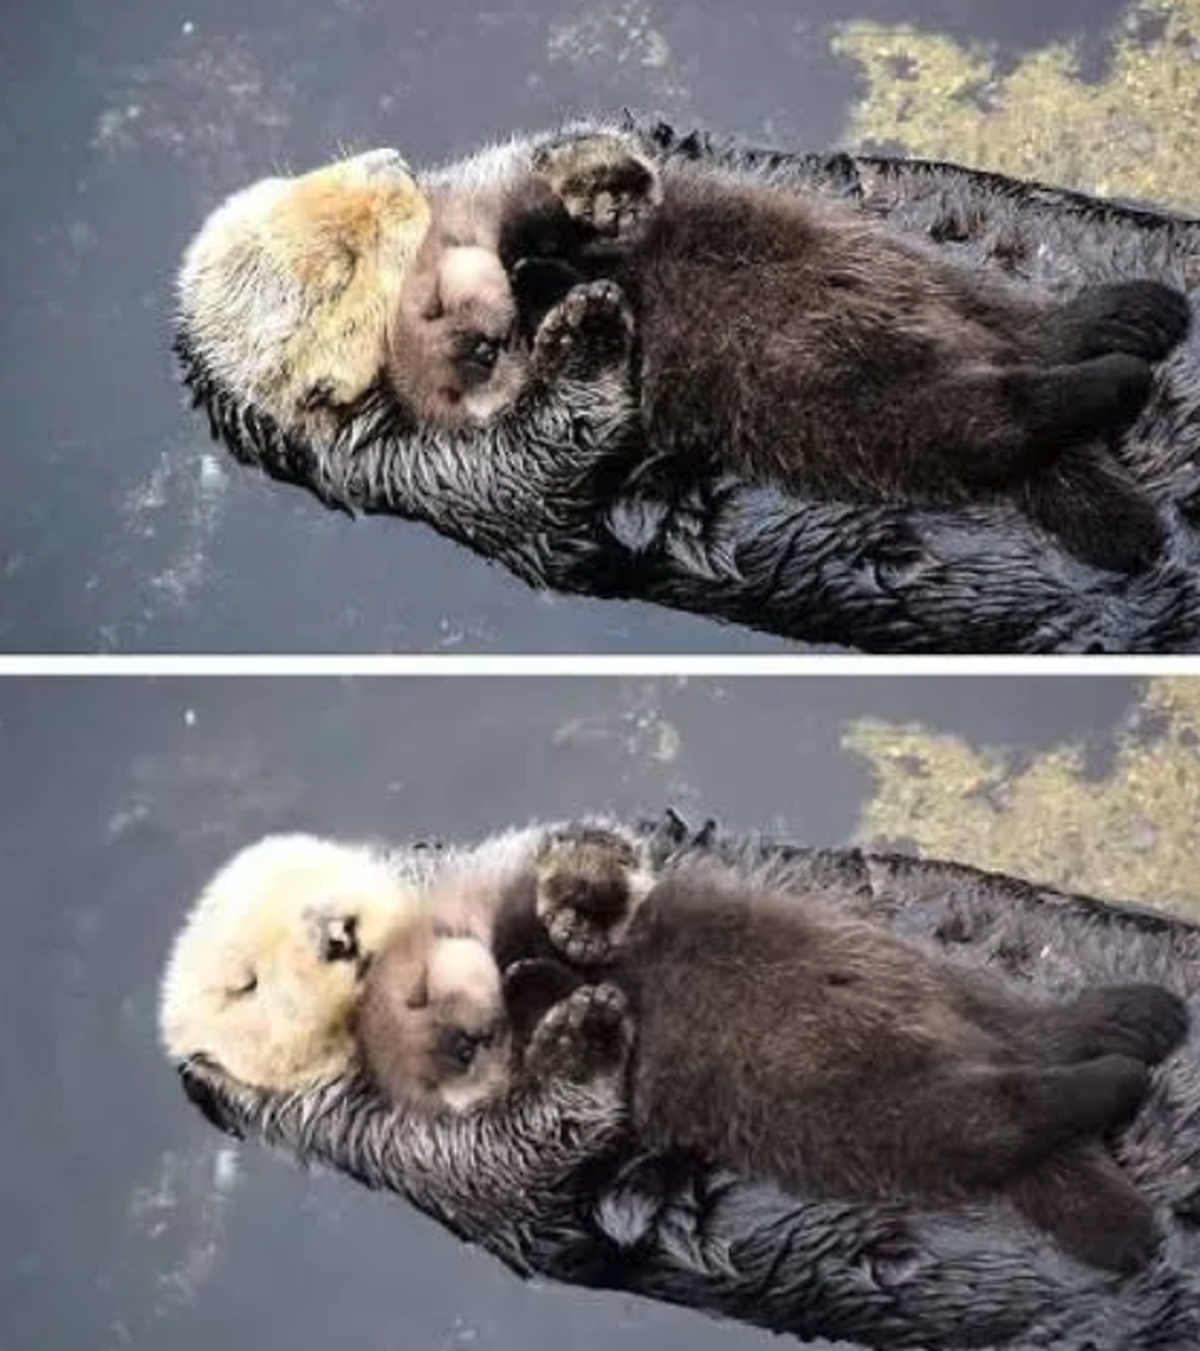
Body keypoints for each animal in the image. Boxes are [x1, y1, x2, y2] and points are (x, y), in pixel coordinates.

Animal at [356, 824, 1189, 1276]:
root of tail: (969, 1043)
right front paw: (555, 1001)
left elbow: (571, 915)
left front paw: (574, 898)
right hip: (890, 1112)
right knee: (1008, 1110)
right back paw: (1121, 1096)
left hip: (939, 987)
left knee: (1037, 1029)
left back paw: (1139, 1020)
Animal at [385, 133, 1192, 574]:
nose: (485, 338)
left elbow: (551, 225)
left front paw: (586, 209)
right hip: (863, 409)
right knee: (1000, 415)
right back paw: (1120, 380)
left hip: (890, 264)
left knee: (1025, 322)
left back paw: (1133, 315)